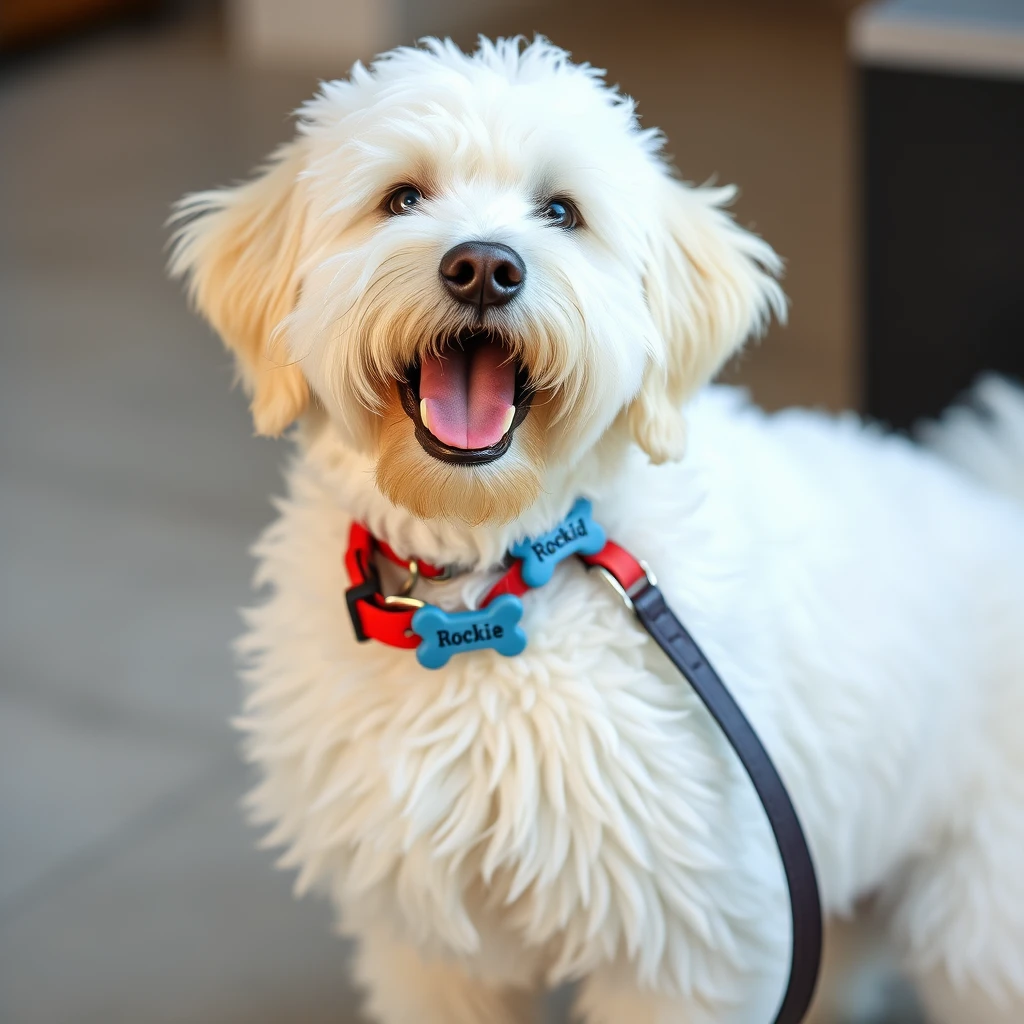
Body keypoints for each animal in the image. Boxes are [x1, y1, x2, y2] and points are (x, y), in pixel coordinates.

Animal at [169, 36, 1024, 1019]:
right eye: (402, 198)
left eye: (561, 212)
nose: (483, 267)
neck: (481, 588)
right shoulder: (427, 947)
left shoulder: (685, 947)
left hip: (981, 925)